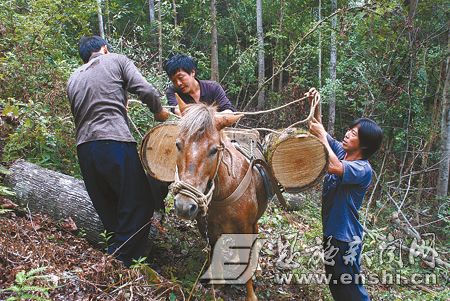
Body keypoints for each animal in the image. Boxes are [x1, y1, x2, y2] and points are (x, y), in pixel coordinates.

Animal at [171, 99, 268, 300]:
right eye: (178, 144)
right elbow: (213, 251)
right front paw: (218, 282)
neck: (224, 191)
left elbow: (246, 260)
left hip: (253, 222)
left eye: (214, 150)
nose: (184, 206)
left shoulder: (245, 228)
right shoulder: (207, 227)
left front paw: (251, 295)